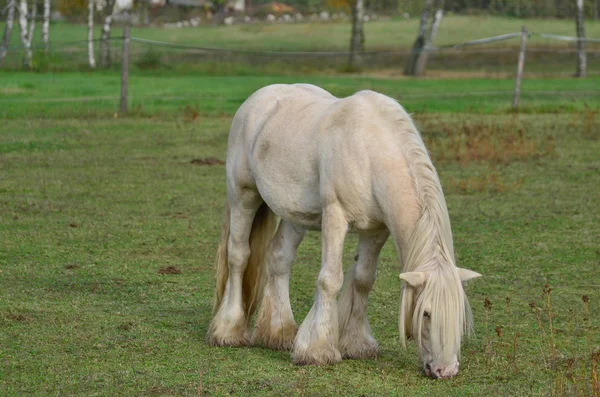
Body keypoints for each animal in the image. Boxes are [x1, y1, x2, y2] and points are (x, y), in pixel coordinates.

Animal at [209, 83, 480, 378]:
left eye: (459, 316)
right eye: (427, 313)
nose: (446, 370)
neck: (370, 153)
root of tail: (257, 99)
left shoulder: (376, 230)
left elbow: (363, 280)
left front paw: (356, 344)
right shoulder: (335, 218)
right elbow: (330, 280)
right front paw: (317, 350)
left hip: (294, 215)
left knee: (279, 259)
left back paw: (279, 332)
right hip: (243, 196)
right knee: (238, 256)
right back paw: (229, 331)